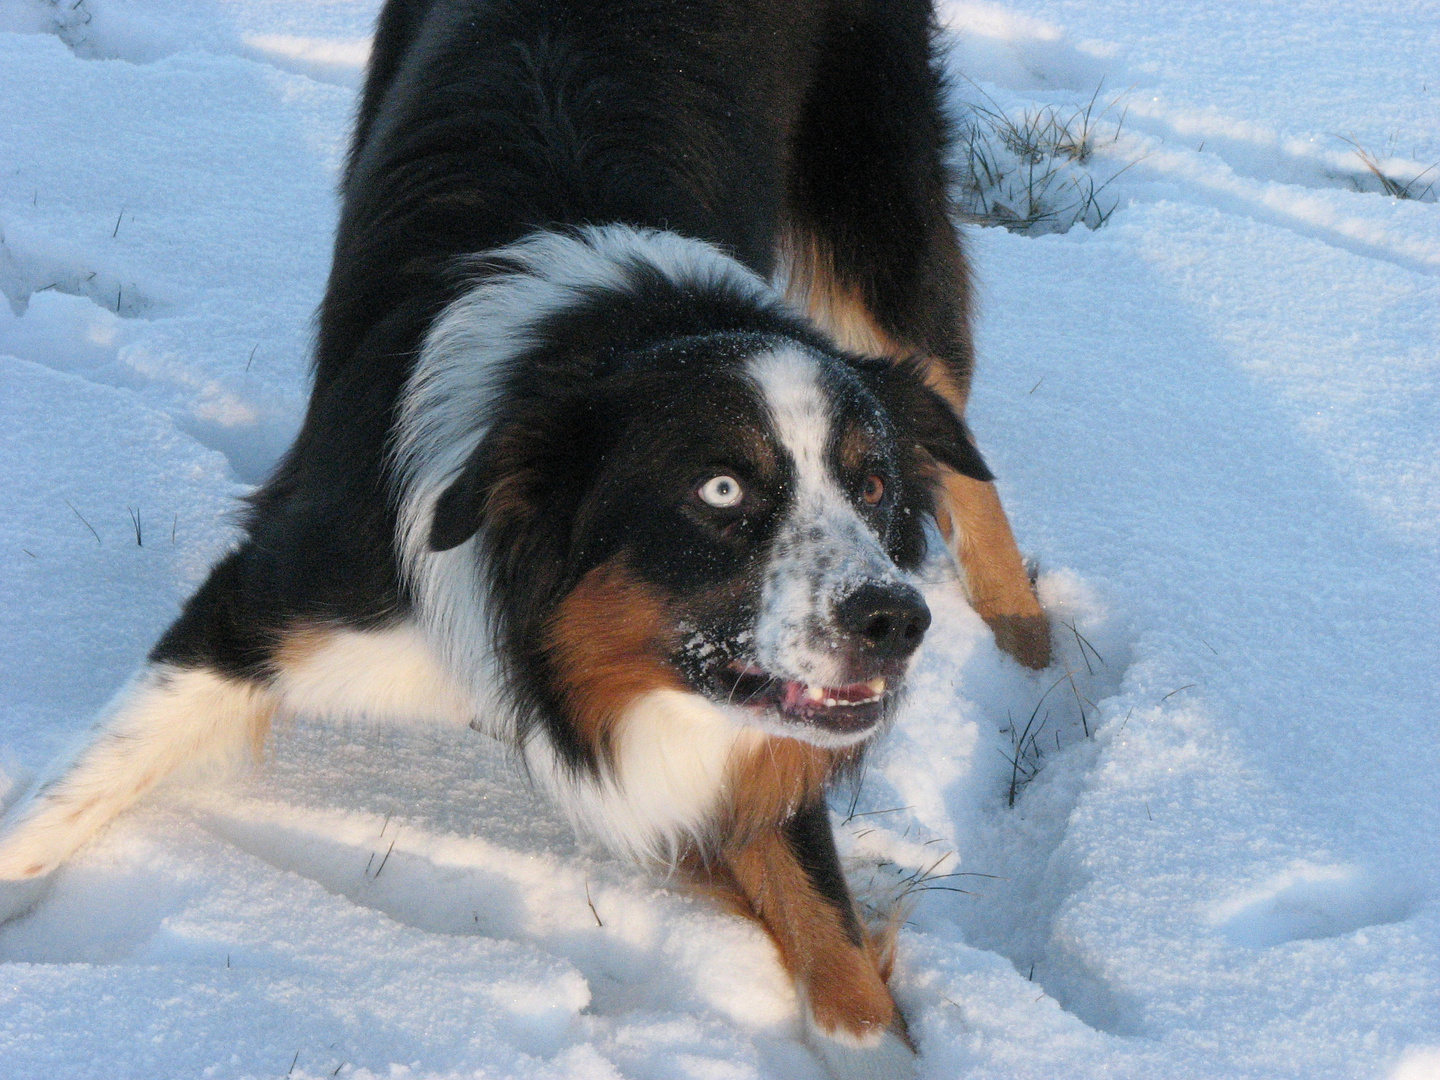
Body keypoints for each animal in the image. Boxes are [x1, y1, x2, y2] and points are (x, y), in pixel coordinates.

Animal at [0, 4, 1048, 1077]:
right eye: (719, 490)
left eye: (870, 485)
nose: (897, 622)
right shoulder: (281, 596)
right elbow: (74, 794)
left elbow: (829, 927)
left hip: (876, 209)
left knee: (956, 430)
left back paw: (1030, 643)